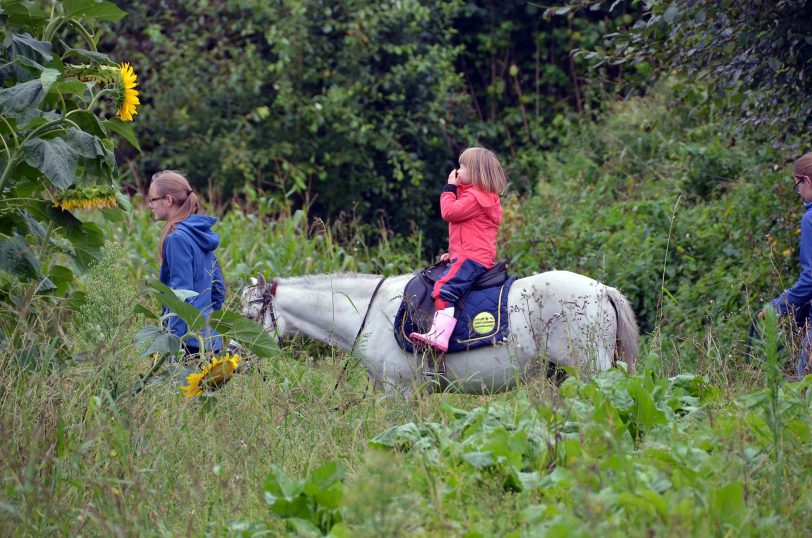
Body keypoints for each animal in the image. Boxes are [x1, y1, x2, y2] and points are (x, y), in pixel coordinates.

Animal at [241, 270, 640, 396]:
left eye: (248, 315)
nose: (233, 357)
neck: (370, 313)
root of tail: (602, 290)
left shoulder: (399, 391)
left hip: (589, 371)